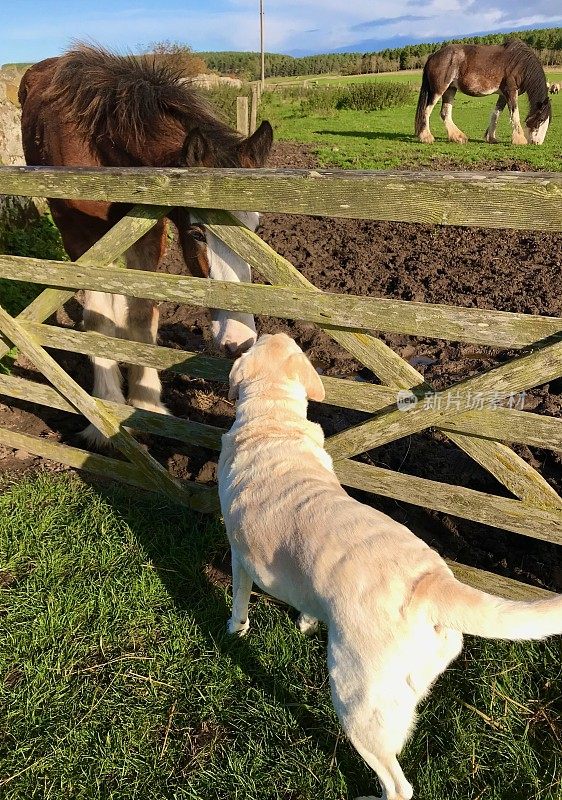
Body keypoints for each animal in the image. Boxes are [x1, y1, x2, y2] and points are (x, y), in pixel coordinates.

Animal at [20, 45, 274, 450]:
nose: (240, 342)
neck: (99, 145)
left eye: (256, 227)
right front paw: (104, 415)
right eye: (197, 233)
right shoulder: (80, 238)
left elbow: (142, 315)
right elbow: (98, 319)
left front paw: (147, 405)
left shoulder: (147, 230)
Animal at [414, 39, 548, 145]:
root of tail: (433, 55)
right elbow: (515, 115)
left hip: (450, 90)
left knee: (444, 113)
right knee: (426, 111)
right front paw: (520, 140)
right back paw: (426, 137)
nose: (538, 142)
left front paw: (491, 137)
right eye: (540, 120)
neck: (520, 64)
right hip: (438, 90)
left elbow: (496, 114)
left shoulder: (503, 95)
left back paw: (458, 137)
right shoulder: (510, 91)